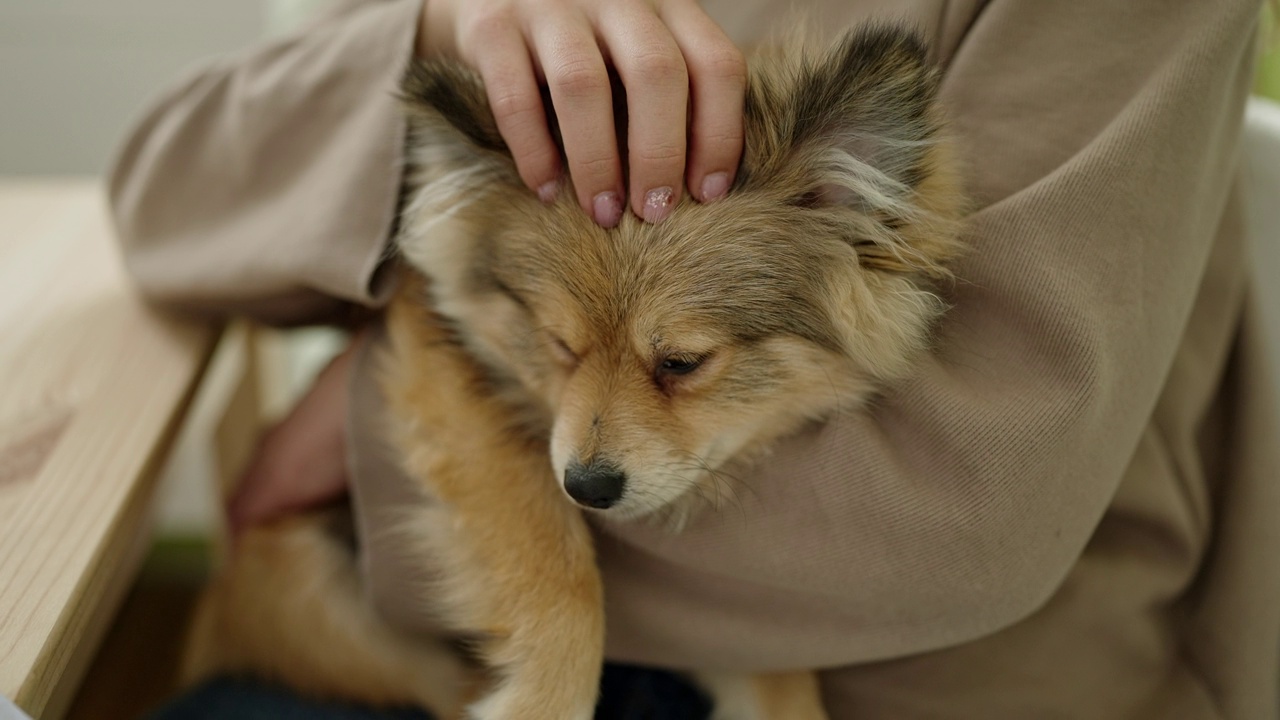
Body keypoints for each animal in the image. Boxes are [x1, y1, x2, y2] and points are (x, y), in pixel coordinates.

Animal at [180, 23, 962, 717]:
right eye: (559, 345)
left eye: (682, 363)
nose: (586, 486)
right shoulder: (446, 377)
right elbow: (553, 565)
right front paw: (541, 700)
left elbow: (772, 673)